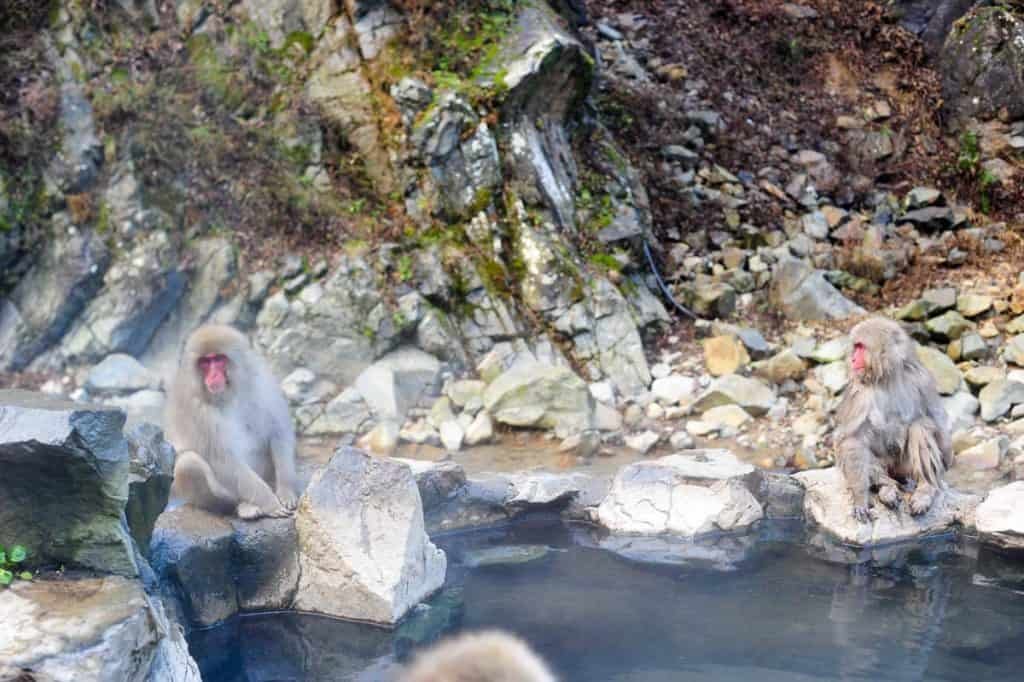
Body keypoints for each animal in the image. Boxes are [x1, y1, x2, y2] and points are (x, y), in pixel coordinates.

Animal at [163, 323, 299, 516]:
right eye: (205, 362)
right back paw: (242, 506)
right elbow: (222, 459)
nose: (213, 376)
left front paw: (286, 491)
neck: (227, 394)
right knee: (188, 463)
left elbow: (278, 431)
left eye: (219, 359)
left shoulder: (262, 381)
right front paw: (271, 504)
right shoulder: (194, 408)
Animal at [835, 317, 954, 520]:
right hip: (887, 466)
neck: (887, 377)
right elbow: (853, 439)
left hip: (904, 468)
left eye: (860, 347)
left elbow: (936, 420)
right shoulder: (860, 393)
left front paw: (940, 473)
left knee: (920, 426)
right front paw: (860, 498)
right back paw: (886, 488)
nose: (853, 359)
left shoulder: (921, 378)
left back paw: (925, 489)